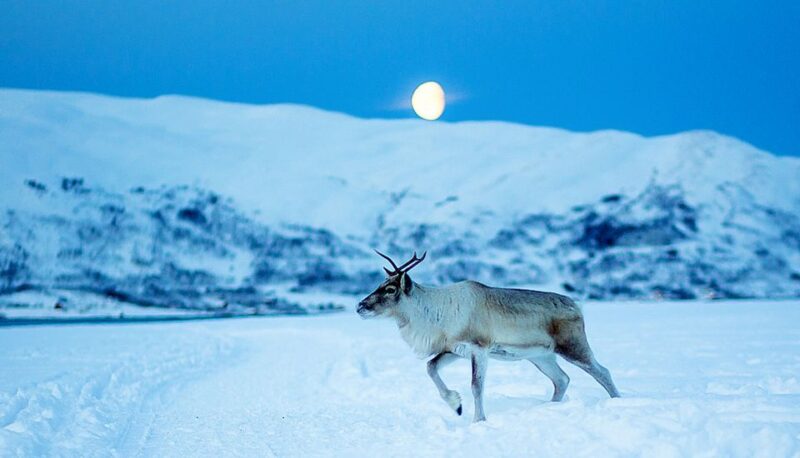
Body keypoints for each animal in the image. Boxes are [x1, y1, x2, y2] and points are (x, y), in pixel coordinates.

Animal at [357, 251, 620, 422]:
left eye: (390, 288)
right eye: (380, 283)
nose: (360, 306)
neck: (434, 313)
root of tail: (577, 306)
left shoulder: (480, 347)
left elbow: (477, 386)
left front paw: (478, 420)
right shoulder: (454, 349)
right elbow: (431, 367)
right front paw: (456, 405)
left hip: (573, 346)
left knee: (602, 371)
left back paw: (617, 401)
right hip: (540, 356)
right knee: (562, 379)